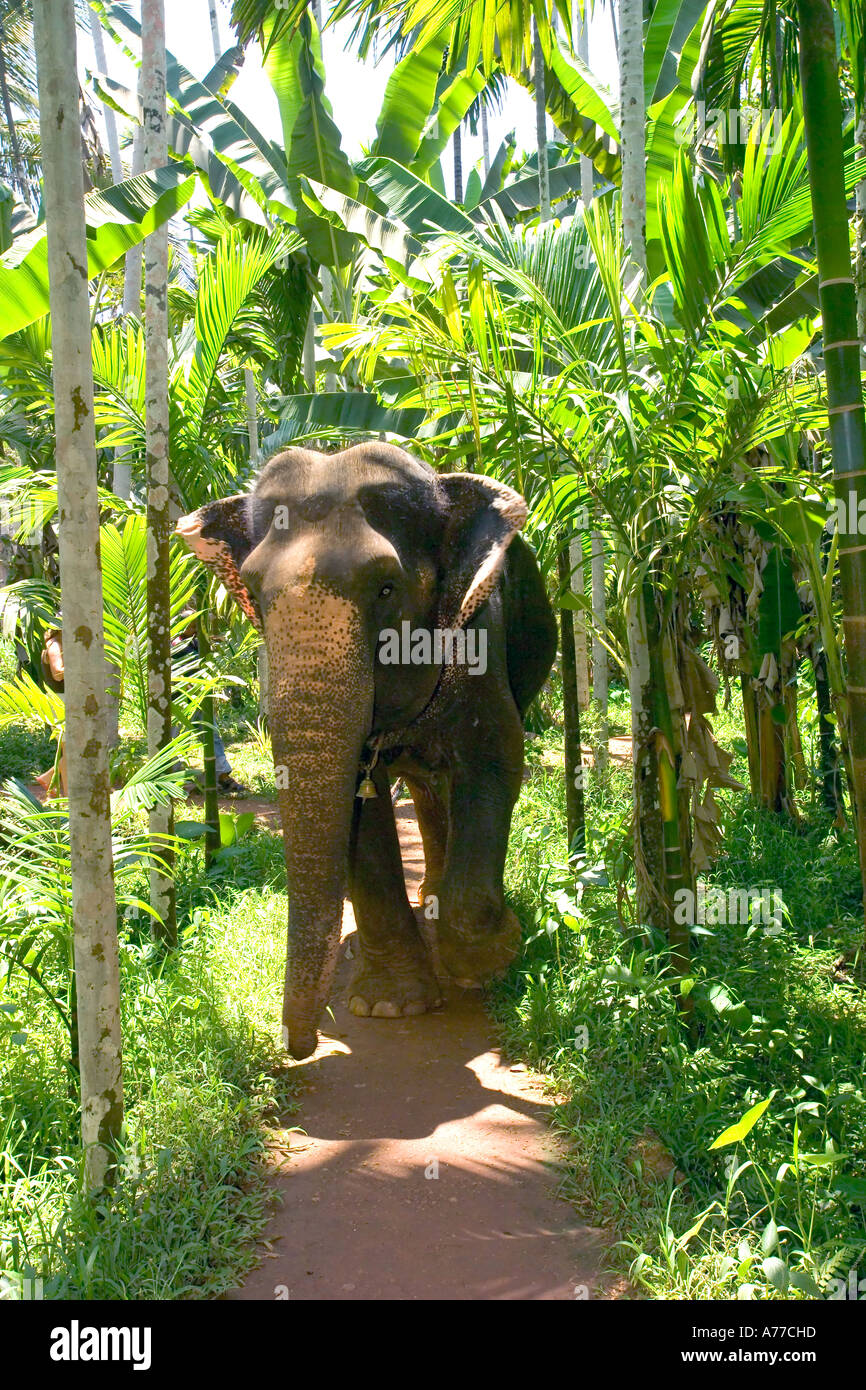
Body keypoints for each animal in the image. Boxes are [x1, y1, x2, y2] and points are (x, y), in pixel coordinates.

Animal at [177, 439, 556, 1056]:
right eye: (252, 593)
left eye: (385, 588)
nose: (298, 1047)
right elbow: (359, 809)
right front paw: (391, 1005)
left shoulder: (481, 637)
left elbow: (495, 760)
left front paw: (494, 955)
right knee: (425, 788)